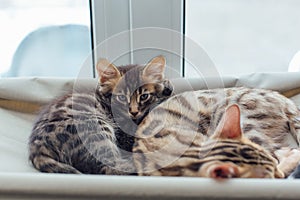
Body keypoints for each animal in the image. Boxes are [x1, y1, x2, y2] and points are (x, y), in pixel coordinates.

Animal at [28, 55, 173, 174]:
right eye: (121, 97)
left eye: (144, 96)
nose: (133, 111)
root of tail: (37, 147)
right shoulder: (125, 136)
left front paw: (165, 86)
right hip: (95, 126)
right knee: (109, 167)